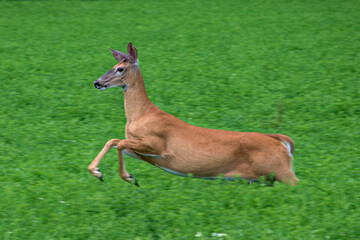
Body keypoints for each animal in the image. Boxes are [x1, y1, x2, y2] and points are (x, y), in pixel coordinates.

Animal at [88, 42, 298, 186]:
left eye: (119, 69)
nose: (97, 82)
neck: (140, 115)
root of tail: (281, 143)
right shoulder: (142, 152)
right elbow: (115, 142)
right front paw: (98, 172)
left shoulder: (158, 145)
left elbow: (118, 142)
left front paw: (127, 177)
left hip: (281, 171)